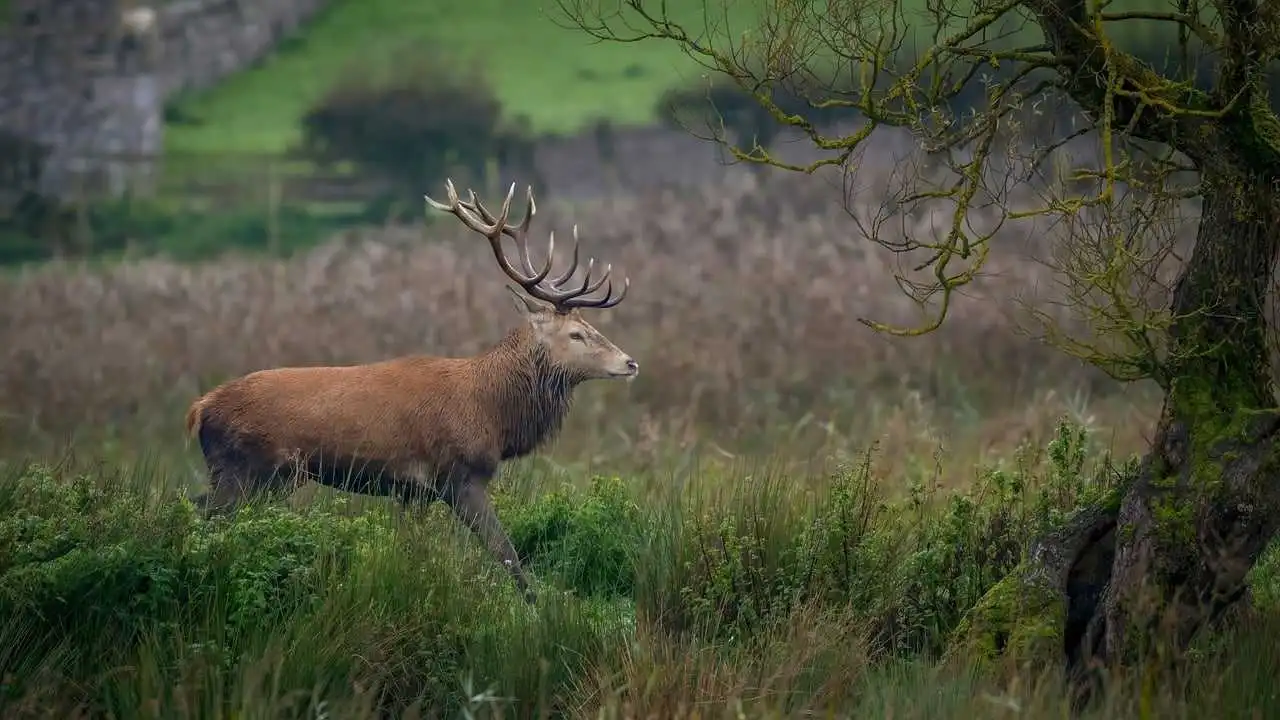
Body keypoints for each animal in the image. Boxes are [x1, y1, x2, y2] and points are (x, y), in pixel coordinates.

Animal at [183, 178, 637, 599]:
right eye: (577, 334)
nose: (630, 362)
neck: (492, 413)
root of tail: (199, 408)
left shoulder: (412, 492)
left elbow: (412, 552)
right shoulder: (458, 475)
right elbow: (506, 553)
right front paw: (538, 607)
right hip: (245, 470)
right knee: (201, 513)